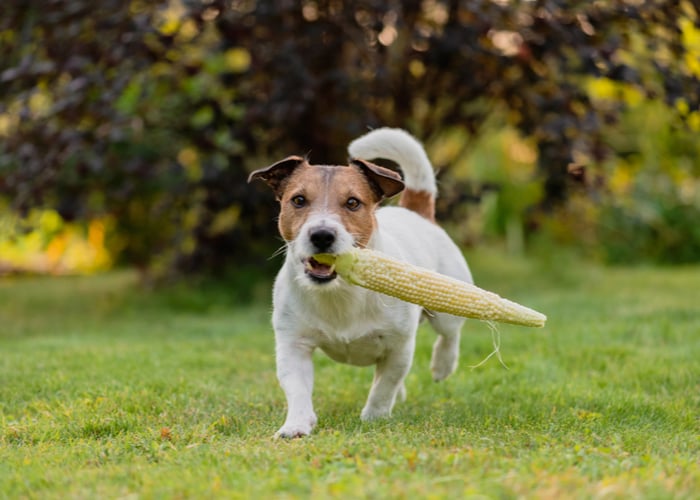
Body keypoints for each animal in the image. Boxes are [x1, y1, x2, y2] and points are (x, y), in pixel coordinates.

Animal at [249, 129, 474, 438]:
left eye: (353, 202)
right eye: (298, 200)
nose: (322, 235)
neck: (340, 292)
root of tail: (416, 212)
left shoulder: (399, 346)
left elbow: (384, 386)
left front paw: (374, 418)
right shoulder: (293, 345)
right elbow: (297, 388)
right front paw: (296, 425)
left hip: (447, 305)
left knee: (450, 334)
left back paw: (442, 365)